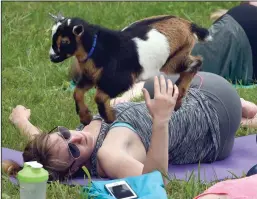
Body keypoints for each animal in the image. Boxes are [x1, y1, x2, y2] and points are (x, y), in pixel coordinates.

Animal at [49, 13, 211, 125]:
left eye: (65, 41)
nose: (52, 57)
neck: (98, 48)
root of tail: (188, 24)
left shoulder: (120, 80)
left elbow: (99, 97)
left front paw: (110, 117)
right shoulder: (91, 76)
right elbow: (77, 92)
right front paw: (86, 118)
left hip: (174, 58)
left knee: (196, 62)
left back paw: (178, 95)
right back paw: (177, 99)